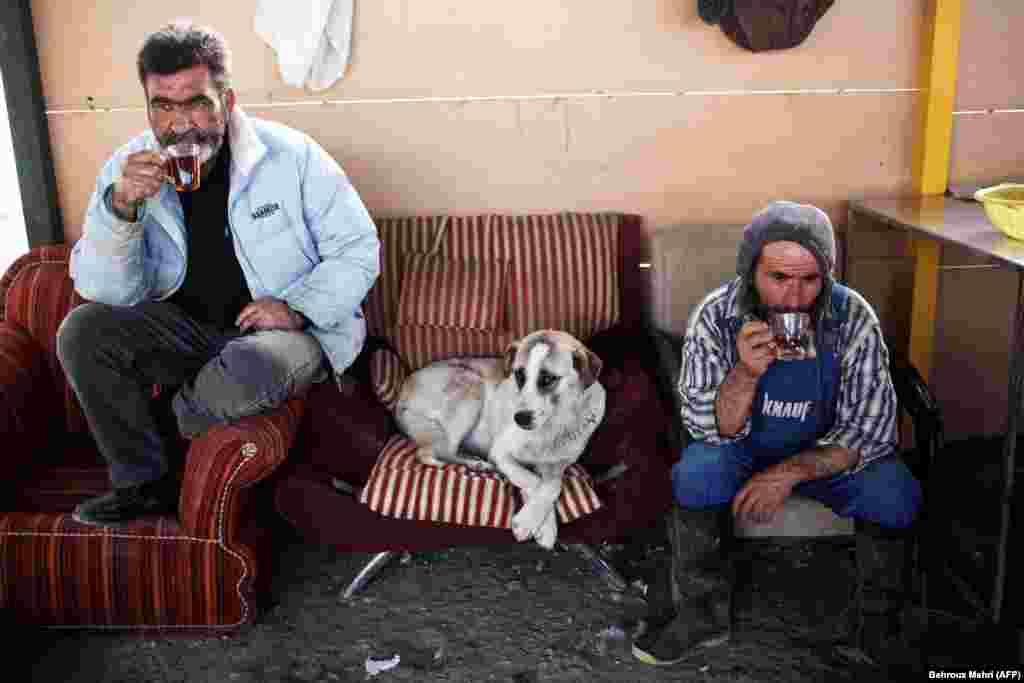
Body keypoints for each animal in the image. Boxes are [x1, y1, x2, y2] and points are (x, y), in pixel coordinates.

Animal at [393, 327, 602, 548]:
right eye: (519, 375)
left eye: (548, 379)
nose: (519, 418)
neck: (554, 424)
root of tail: (403, 391)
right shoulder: (500, 454)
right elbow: (533, 480)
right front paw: (530, 523)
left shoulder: (556, 466)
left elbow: (552, 485)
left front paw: (542, 526)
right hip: (470, 385)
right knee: (437, 451)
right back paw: (477, 464)